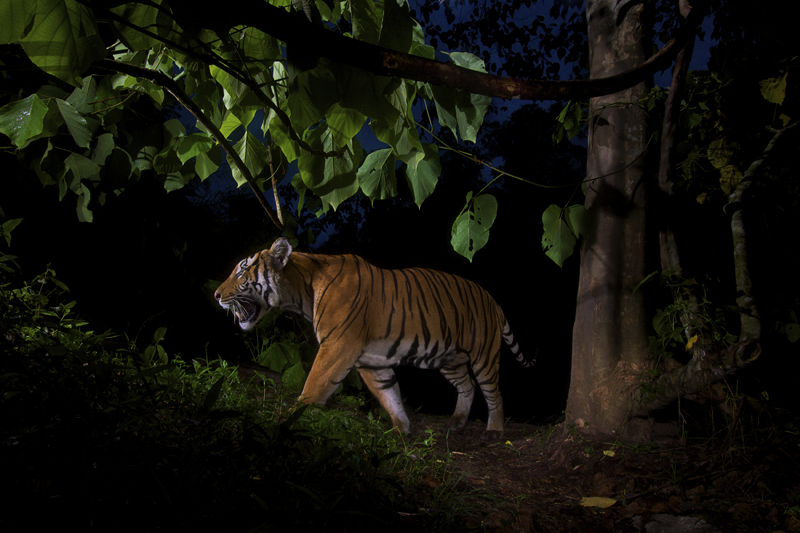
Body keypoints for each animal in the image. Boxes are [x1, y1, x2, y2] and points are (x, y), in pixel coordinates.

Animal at [216, 239, 536, 438]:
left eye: (242, 271)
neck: (300, 292)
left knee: (494, 392)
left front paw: (286, 421)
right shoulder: (371, 361)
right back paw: (456, 422)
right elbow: (389, 394)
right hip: (449, 359)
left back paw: (495, 430)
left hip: (484, 356)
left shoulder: (337, 347)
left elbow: (313, 386)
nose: (217, 295)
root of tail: (493, 300)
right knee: (467, 386)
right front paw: (401, 430)